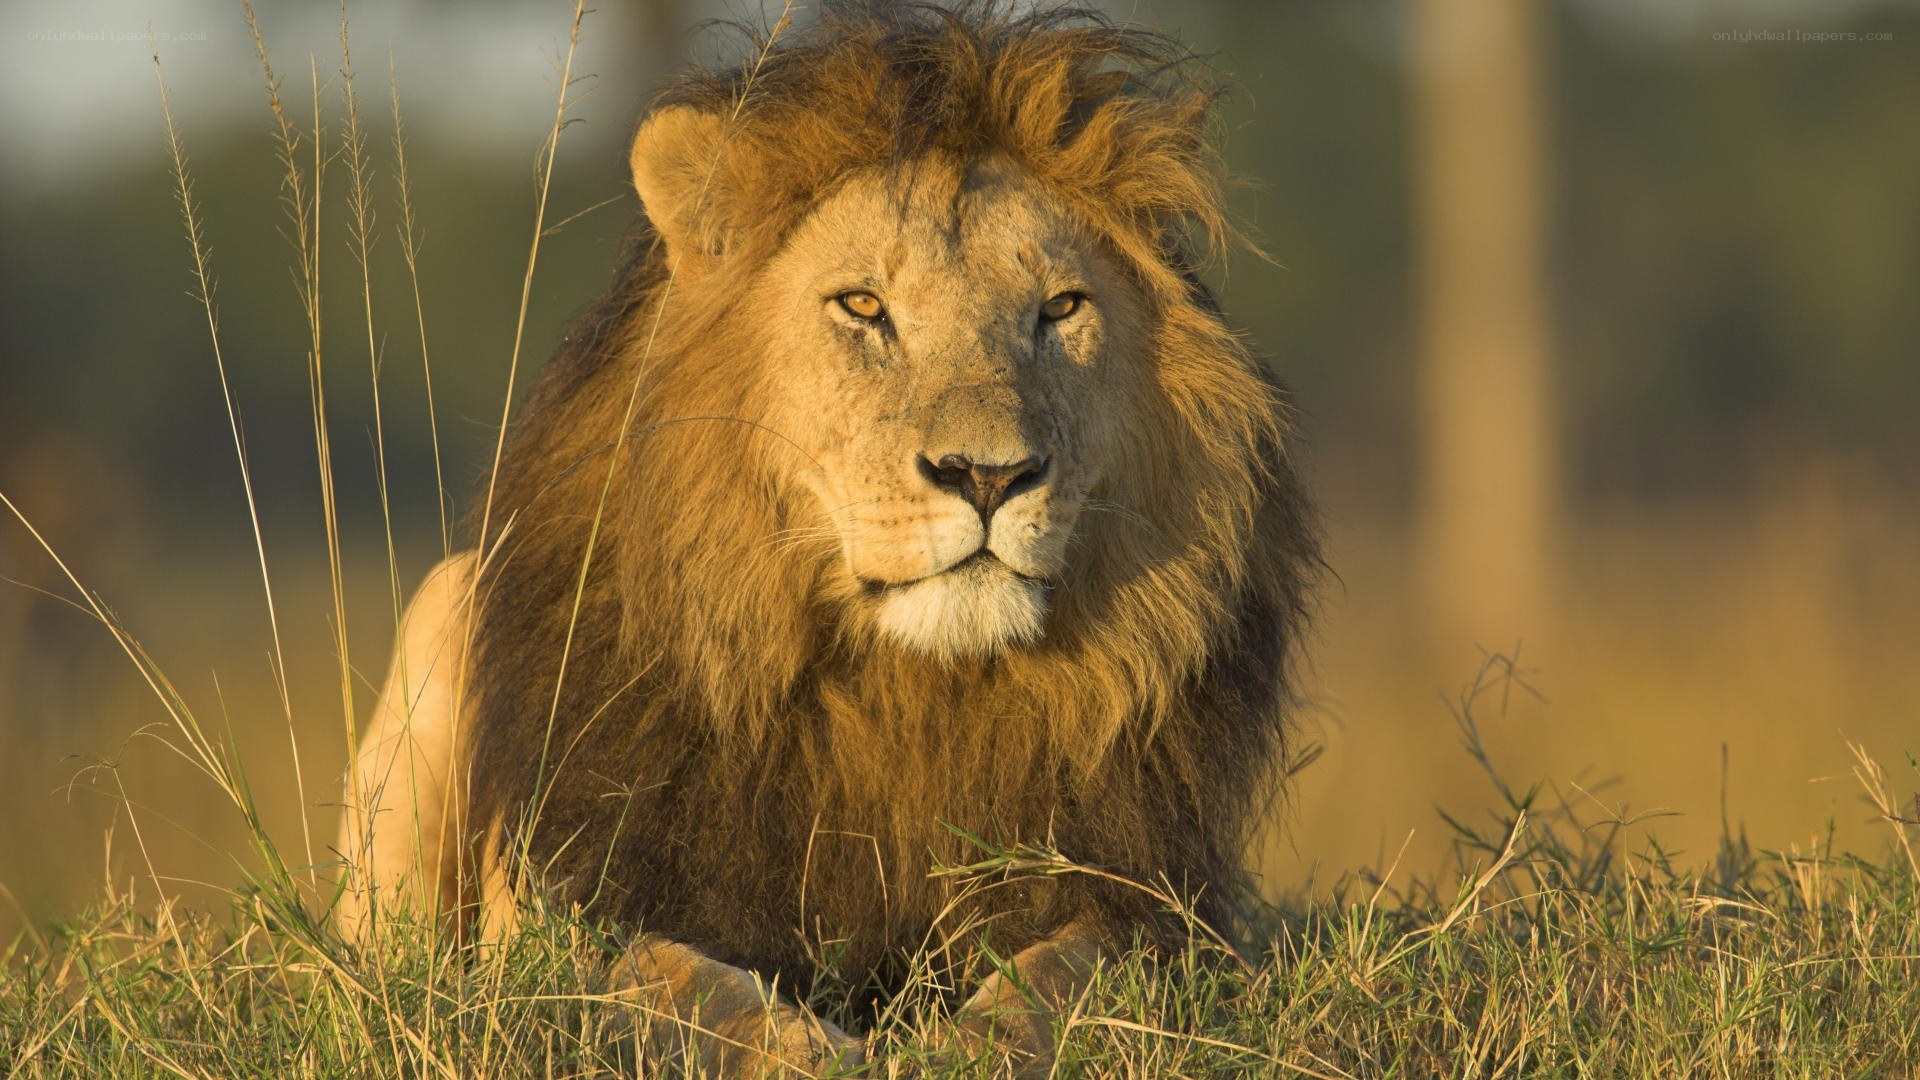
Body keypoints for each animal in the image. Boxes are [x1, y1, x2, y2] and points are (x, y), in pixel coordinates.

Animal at [337, 4, 1318, 1074]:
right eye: (862, 307)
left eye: (1060, 309)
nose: (988, 476)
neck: (910, 695)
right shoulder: (574, 898)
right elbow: (673, 982)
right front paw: (803, 1048)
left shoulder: (1158, 902)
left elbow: (1067, 973)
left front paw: (968, 1045)